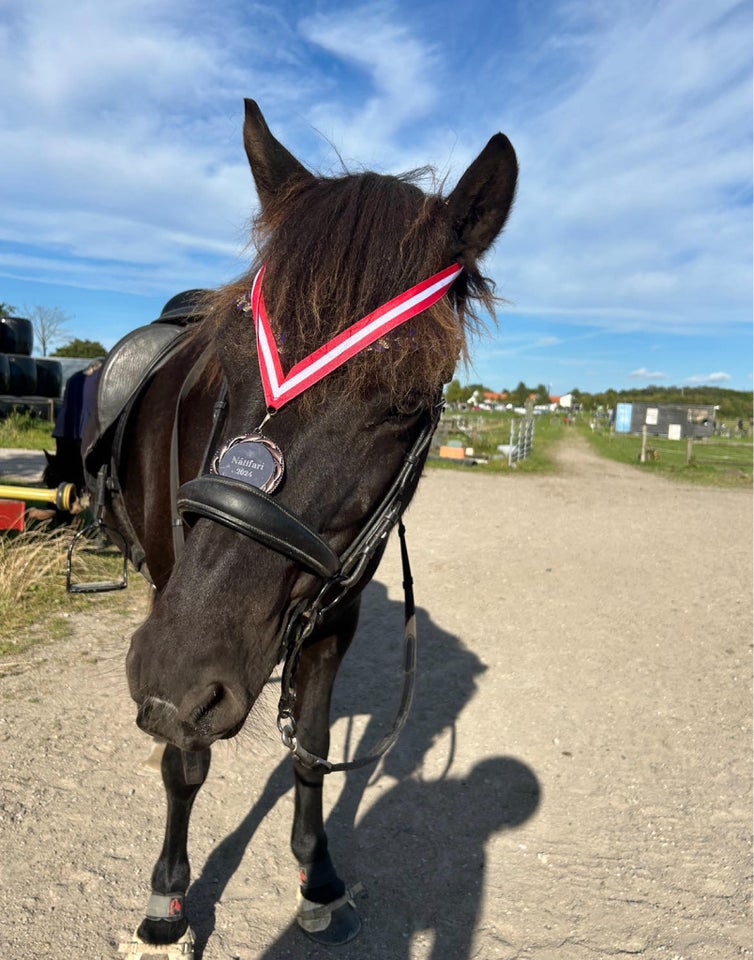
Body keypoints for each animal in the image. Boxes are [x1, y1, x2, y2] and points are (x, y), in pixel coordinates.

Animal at [97, 99, 516, 952]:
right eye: (226, 362)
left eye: (408, 401)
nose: (174, 673)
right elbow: (183, 758)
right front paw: (169, 897)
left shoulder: (331, 619)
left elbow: (314, 756)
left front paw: (317, 879)